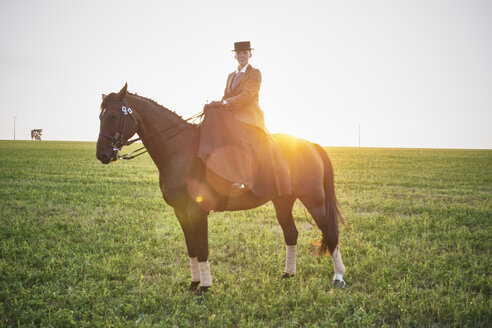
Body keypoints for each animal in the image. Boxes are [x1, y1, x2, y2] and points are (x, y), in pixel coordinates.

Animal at [97, 83, 346, 294]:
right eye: (100, 116)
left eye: (113, 115)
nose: (102, 155)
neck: (180, 151)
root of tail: (310, 144)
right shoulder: (181, 212)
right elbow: (191, 248)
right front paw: (193, 284)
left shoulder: (197, 211)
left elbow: (202, 249)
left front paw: (205, 288)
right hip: (283, 201)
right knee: (291, 234)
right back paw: (288, 275)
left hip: (314, 200)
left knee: (330, 233)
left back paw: (338, 278)